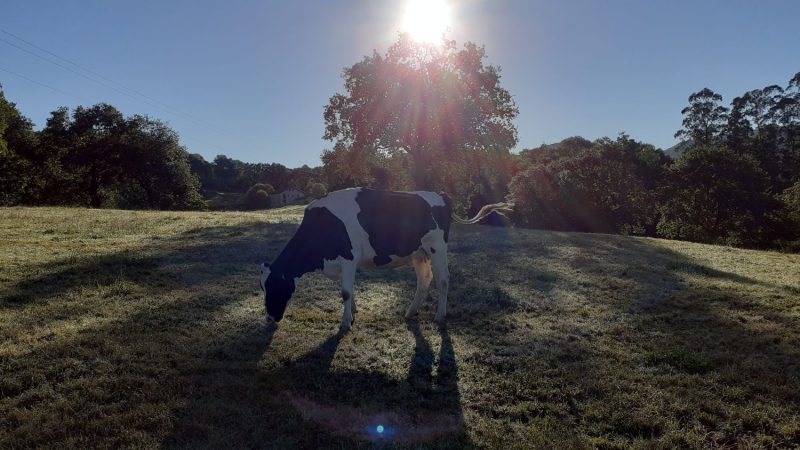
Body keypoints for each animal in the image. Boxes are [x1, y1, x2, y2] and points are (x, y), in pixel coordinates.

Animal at [260, 188, 512, 331]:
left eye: (275, 286)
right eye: (263, 287)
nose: (270, 318)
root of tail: (440, 194)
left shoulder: (349, 257)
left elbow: (345, 292)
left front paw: (345, 323)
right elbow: (349, 291)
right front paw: (353, 313)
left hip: (437, 247)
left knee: (443, 280)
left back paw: (440, 316)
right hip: (419, 253)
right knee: (425, 281)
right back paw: (410, 312)